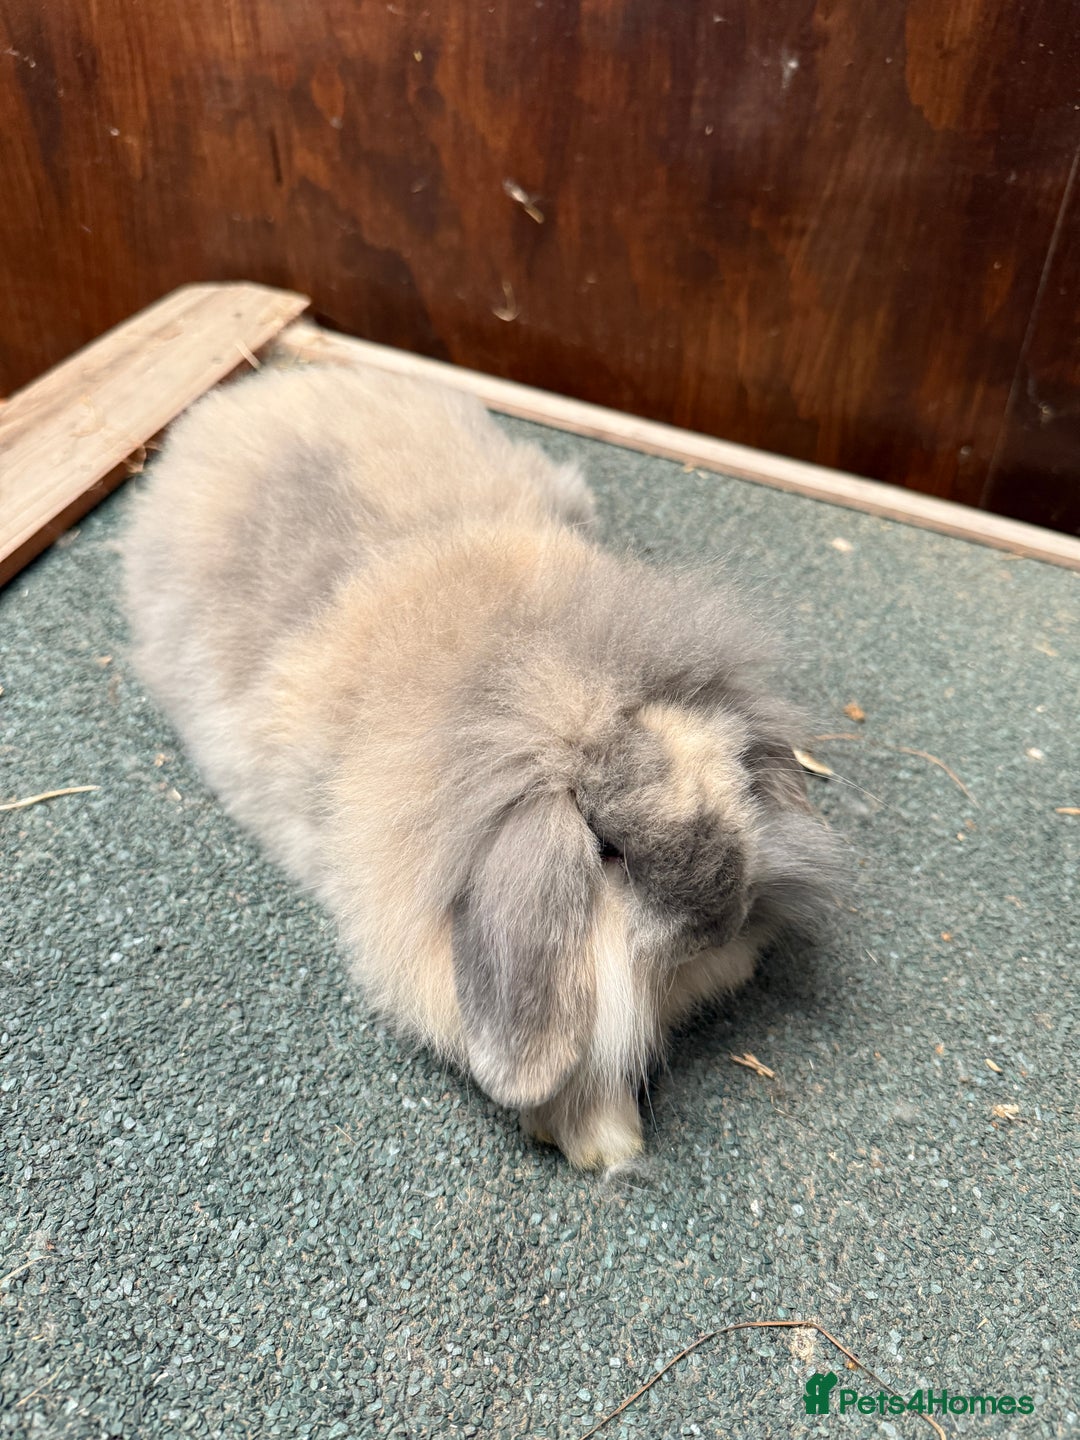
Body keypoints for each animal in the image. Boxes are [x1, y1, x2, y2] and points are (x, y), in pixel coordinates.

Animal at [124, 362, 840, 1169]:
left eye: (732, 784)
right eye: (606, 850)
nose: (719, 927)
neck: (512, 670)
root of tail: (240, 400)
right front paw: (603, 1142)